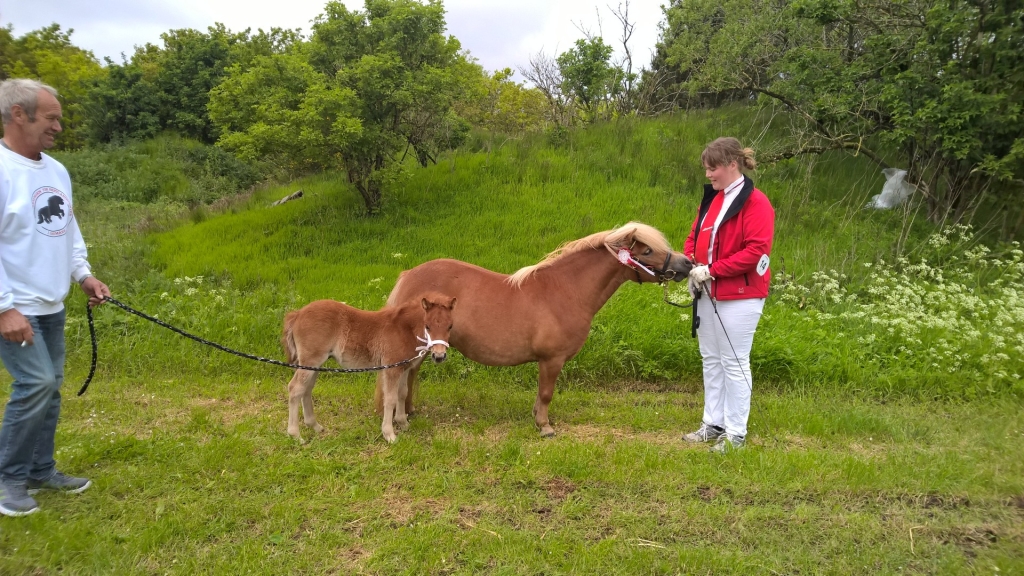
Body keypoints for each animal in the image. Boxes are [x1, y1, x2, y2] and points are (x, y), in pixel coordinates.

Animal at [280, 293, 456, 440]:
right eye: (427, 326)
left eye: (450, 326)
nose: (439, 356)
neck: (404, 328)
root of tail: (298, 314)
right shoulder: (391, 368)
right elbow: (390, 398)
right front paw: (389, 434)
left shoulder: (403, 368)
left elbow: (403, 393)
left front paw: (403, 423)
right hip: (311, 360)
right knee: (295, 388)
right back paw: (295, 434)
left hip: (315, 364)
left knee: (307, 389)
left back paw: (315, 426)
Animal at [380, 220, 692, 434]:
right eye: (647, 250)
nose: (686, 264)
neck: (565, 290)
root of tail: (408, 275)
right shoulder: (551, 360)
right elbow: (546, 393)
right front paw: (544, 426)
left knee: (410, 376)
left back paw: (410, 412)